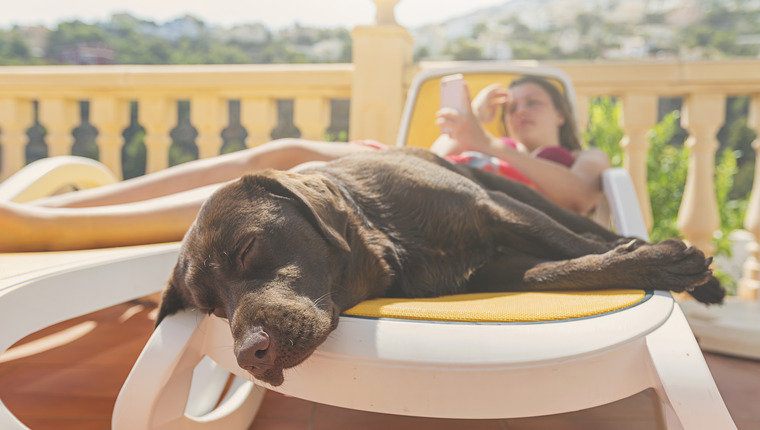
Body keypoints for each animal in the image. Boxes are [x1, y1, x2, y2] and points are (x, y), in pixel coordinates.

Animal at [154, 147, 724, 386]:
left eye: (248, 248)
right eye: (211, 308)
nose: (249, 356)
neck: (396, 243)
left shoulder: (496, 210)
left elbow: (569, 247)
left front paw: (661, 261)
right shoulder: (496, 269)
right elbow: (563, 271)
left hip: (516, 192)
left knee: (584, 228)